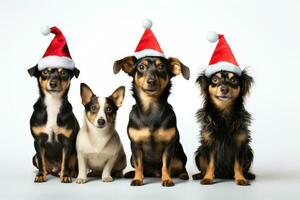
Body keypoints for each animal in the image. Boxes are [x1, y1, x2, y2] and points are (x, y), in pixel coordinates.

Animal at [113, 55, 189, 186]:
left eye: (161, 67)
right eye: (141, 67)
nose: (151, 81)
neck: (151, 107)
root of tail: (155, 174)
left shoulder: (169, 146)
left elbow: (166, 165)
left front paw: (167, 179)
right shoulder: (136, 146)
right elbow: (139, 165)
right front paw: (137, 179)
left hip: (180, 155)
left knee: (181, 167)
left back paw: (183, 174)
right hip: (131, 158)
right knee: (142, 168)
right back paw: (132, 174)